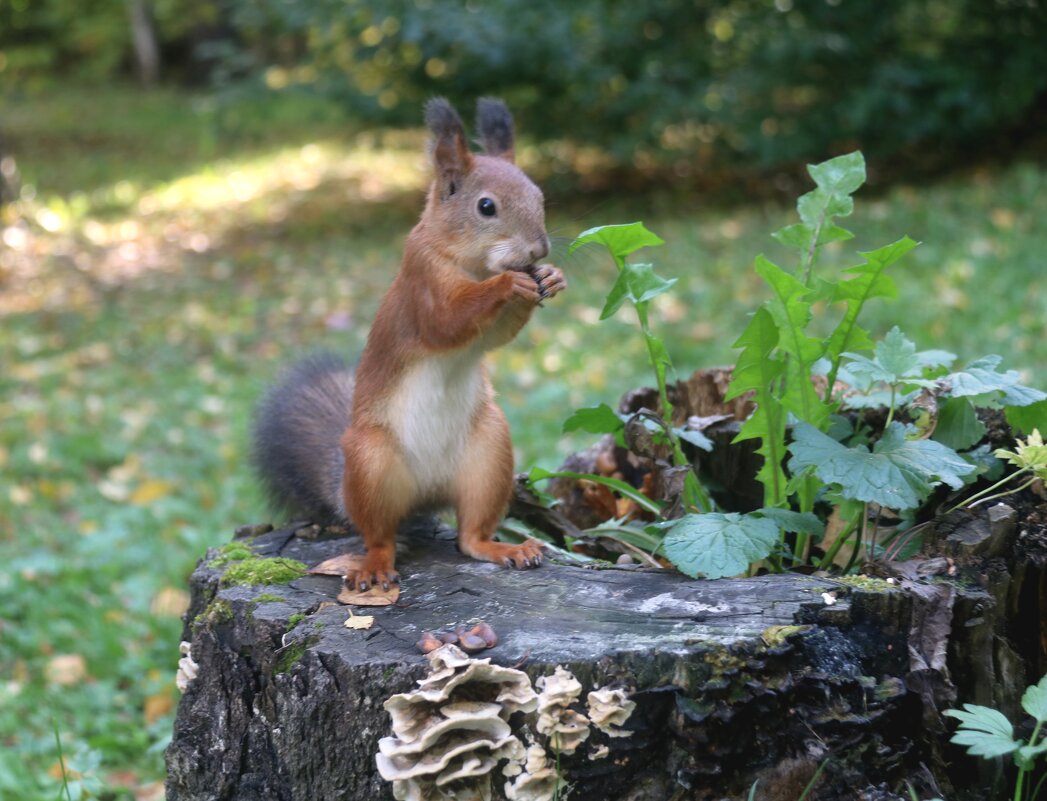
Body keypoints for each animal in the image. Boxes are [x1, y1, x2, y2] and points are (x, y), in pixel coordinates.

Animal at [253, 96, 565, 590]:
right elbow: (447, 321)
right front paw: (507, 284)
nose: (539, 251)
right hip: (372, 461)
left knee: (469, 536)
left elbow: (497, 336)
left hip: (489, 452)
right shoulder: (421, 285)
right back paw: (376, 567)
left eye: (538, 195)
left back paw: (504, 549)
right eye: (486, 206)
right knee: (379, 534)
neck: (472, 263)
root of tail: (426, 493)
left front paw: (550, 278)